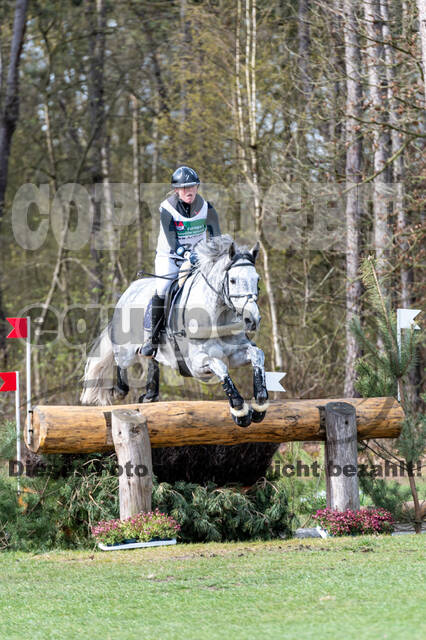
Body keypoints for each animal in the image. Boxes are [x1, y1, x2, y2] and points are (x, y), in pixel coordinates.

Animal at [80, 232, 270, 428]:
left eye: (257, 280)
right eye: (232, 280)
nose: (252, 319)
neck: (217, 316)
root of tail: (127, 293)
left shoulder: (235, 353)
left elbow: (257, 354)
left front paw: (260, 405)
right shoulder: (197, 364)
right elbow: (220, 365)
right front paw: (240, 411)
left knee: (151, 359)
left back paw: (150, 395)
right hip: (126, 350)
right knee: (121, 364)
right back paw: (119, 390)